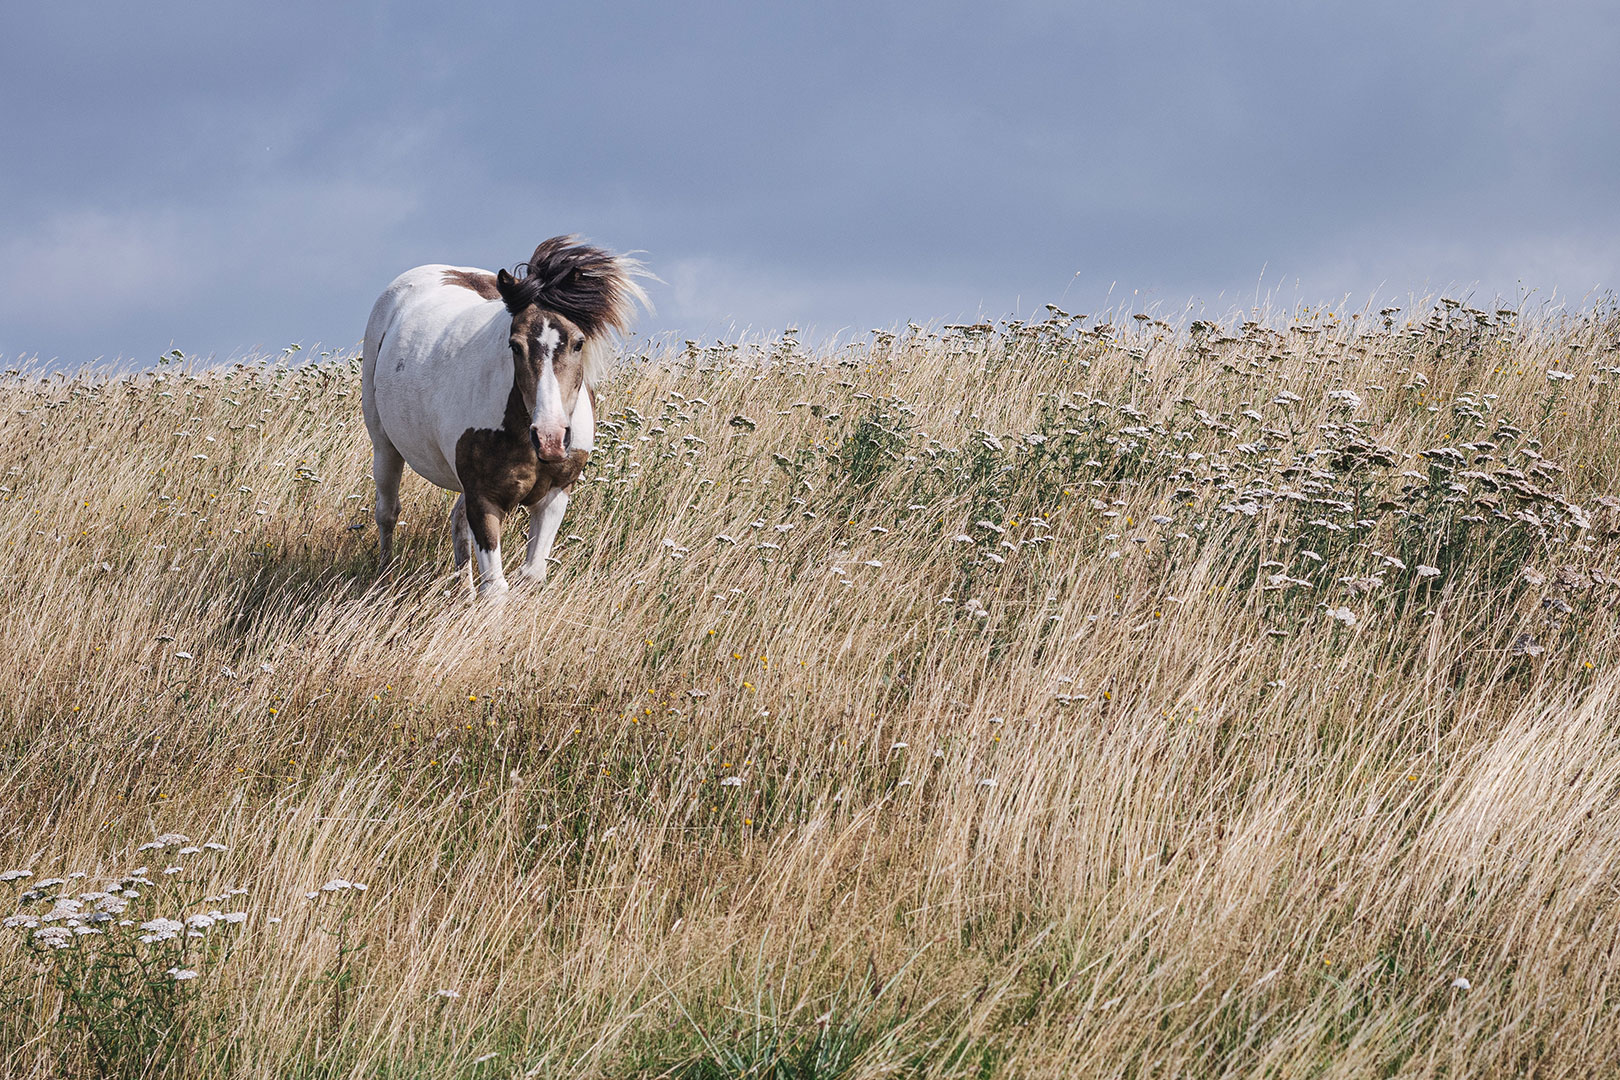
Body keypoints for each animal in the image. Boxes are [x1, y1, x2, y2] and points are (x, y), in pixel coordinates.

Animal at [364, 234, 648, 599]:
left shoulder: (555, 494)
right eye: (514, 345)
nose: (551, 438)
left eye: (578, 343)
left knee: (456, 522)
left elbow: (532, 574)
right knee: (387, 512)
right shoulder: (484, 499)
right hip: (384, 446)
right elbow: (496, 588)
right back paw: (384, 580)